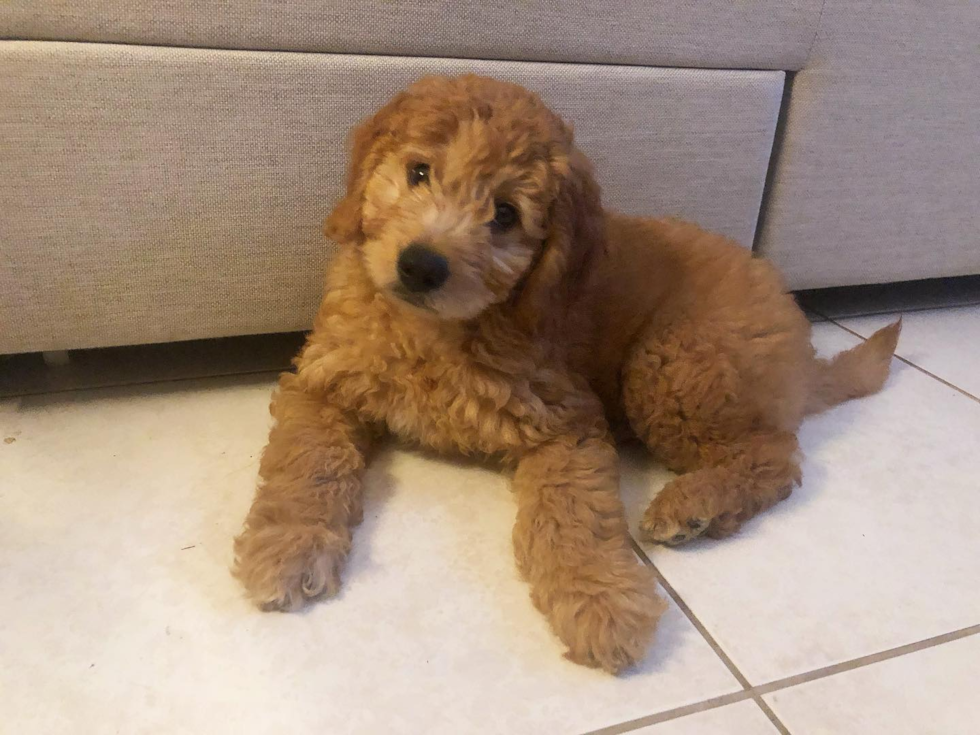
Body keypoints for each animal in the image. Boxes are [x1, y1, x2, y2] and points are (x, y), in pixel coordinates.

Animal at [232, 75, 904, 672]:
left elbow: (573, 517)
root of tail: (794, 326)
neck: (436, 333)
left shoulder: (566, 421)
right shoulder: (321, 383)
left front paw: (602, 603)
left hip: (674, 366)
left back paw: (691, 505)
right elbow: (309, 463)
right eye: (418, 173)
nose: (421, 265)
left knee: (775, 458)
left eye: (505, 213)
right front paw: (287, 547)